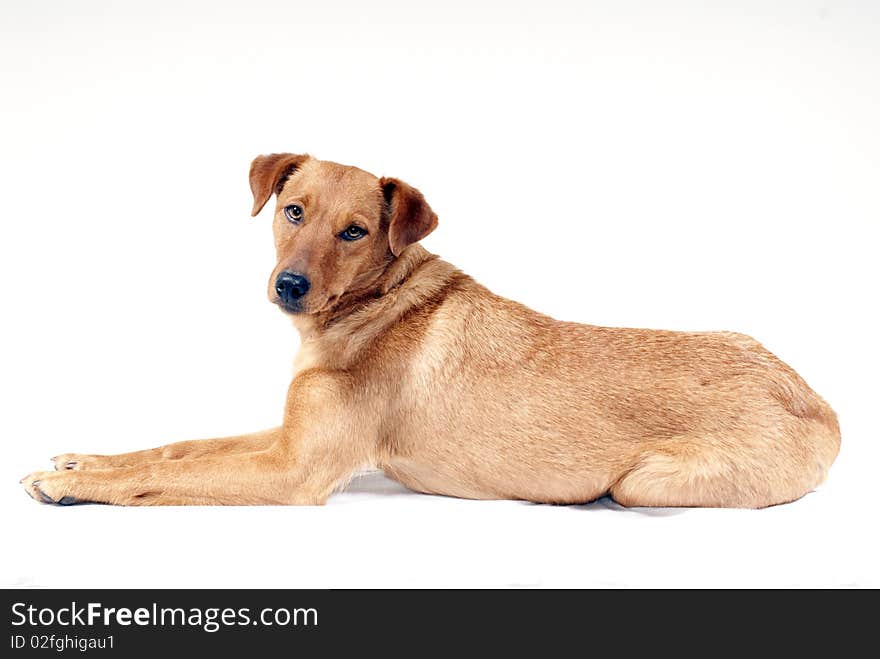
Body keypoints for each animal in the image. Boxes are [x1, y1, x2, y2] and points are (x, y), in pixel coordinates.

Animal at [20, 156, 844, 510]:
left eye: (354, 231)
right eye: (293, 211)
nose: (290, 286)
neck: (371, 306)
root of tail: (816, 399)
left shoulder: (293, 470)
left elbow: (166, 477)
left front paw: (75, 485)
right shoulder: (287, 436)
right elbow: (177, 447)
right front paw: (82, 459)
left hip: (641, 482)